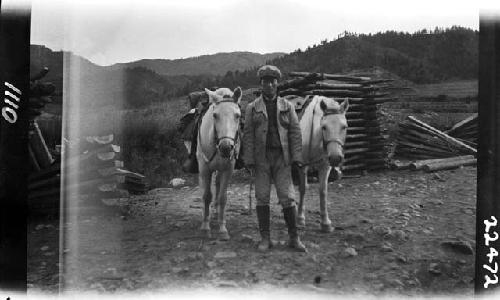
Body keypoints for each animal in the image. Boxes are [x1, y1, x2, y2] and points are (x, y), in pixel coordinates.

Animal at [197, 86, 242, 239]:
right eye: (215, 115)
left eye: (237, 115)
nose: (226, 147)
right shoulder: (205, 169)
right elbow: (206, 196)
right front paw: (205, 227)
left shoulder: (228, 169)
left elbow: (223, 197)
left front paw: (222, 229)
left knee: (217, 185)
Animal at [294, 95, 350, 232]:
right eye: (324, 127)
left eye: (344, 126)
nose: (335, 158)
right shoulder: (302, 166)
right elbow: (303, 189)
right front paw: (300, 219)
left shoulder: (325, 166)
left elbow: (323, 191)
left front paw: (325, 223)